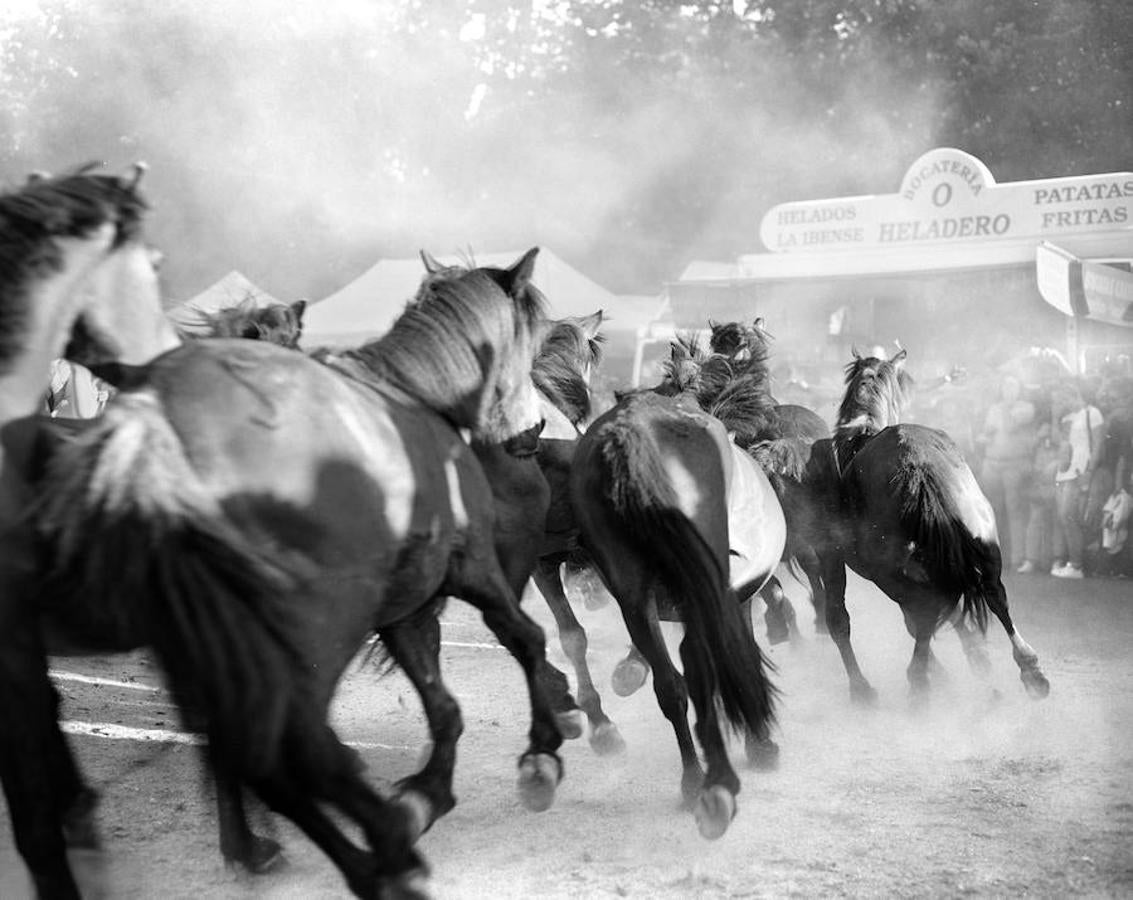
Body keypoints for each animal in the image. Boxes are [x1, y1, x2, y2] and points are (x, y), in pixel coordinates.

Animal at [571, 376, 784, 834]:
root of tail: (633, 431)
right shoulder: (729, 598)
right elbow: (738, 657)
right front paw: (760, 744)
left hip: (632, 589)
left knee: (671, 685)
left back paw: (693, 780)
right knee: (698, 667)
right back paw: (718, 783)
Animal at [811, 346, 1046, 702]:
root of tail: (917, 467)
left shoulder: (832, 554)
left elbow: (843, 617)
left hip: (889, 572)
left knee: (925, 613)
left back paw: (920, 681)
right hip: (982, 541)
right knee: (994, 595)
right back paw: (1027, 669)